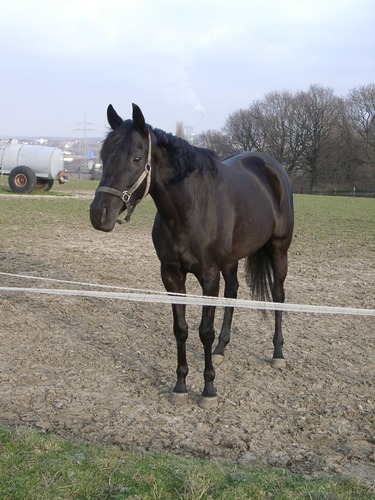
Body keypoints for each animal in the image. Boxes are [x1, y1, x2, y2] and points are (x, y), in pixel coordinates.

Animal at [89, 103, 296, 408]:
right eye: (103, 157)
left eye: (137, 158)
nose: (99, 214)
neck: (189, 208)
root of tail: (272, 167)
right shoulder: (171, 275)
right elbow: (181, 328)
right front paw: (181, 385)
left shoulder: (208, 276)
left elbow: (204, 331)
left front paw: (209, 388)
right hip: (231, 260)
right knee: (233, 293)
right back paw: (222, 349)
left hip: (279, 248)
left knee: (278, 295)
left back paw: (278, 354)